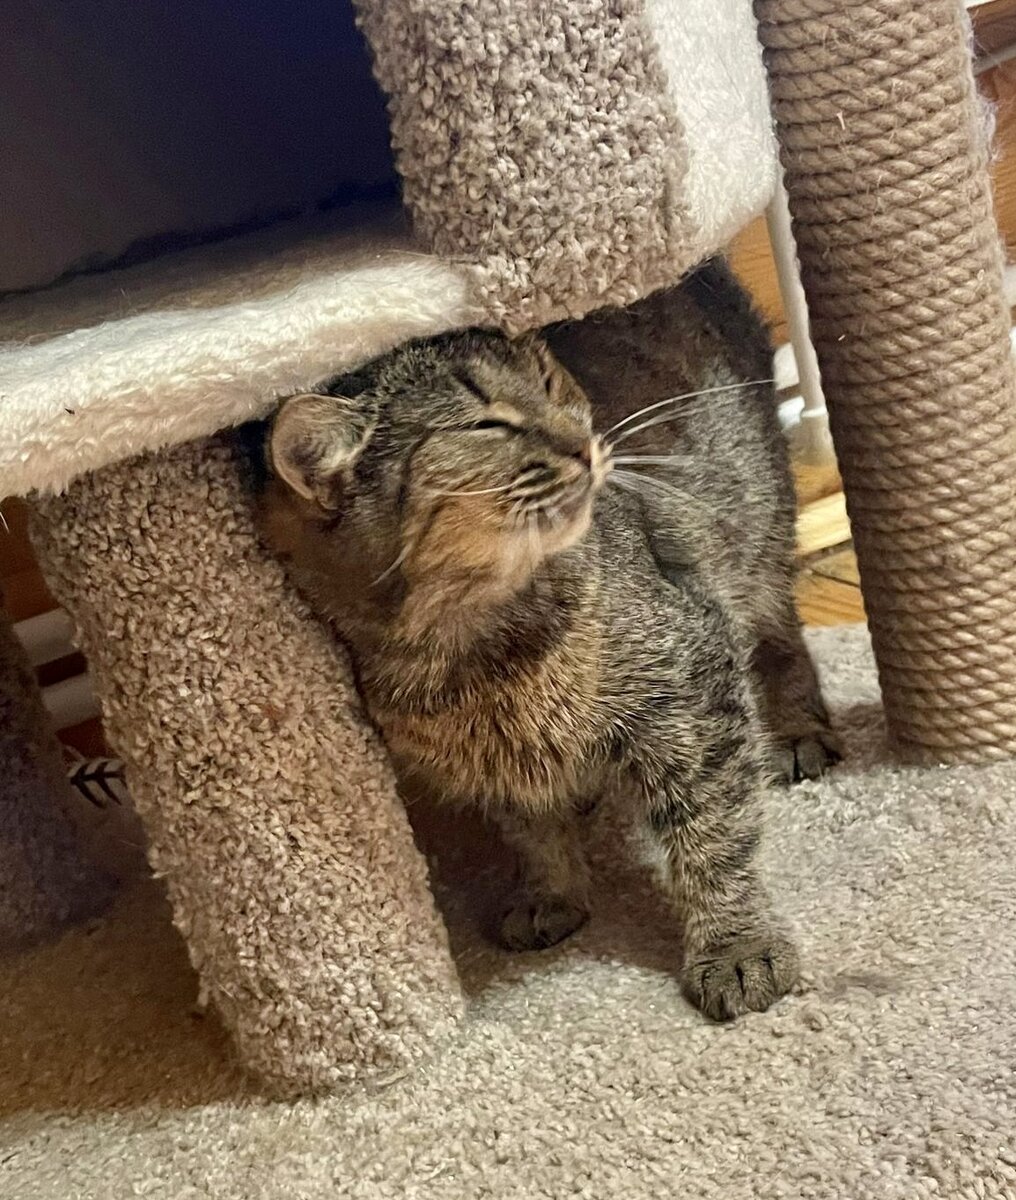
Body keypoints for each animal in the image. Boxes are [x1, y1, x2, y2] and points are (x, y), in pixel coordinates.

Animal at [247, 259, 839, 1021]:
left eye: (552, 384)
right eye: (488, 424)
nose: (583, 442)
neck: (472, 652)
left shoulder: (693, 688)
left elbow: (715, 835)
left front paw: (736, 943)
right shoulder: (492, 767)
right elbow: (532, 830)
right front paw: (552, 892)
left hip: (755, 533)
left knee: (781, 635)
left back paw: (795, 729)